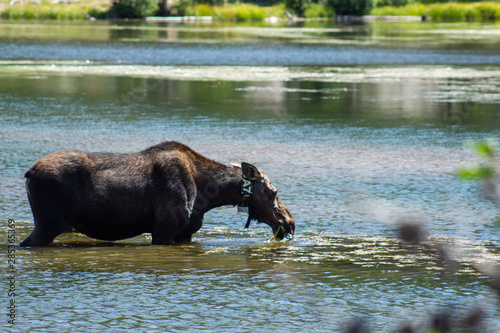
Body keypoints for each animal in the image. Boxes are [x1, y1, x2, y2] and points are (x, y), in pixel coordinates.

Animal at [19, 140, 294, 246]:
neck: (208, 198)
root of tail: (29, 173)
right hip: (49, 223)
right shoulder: (164, 230)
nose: (289, 222)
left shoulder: (185, 233)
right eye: (273, 192)